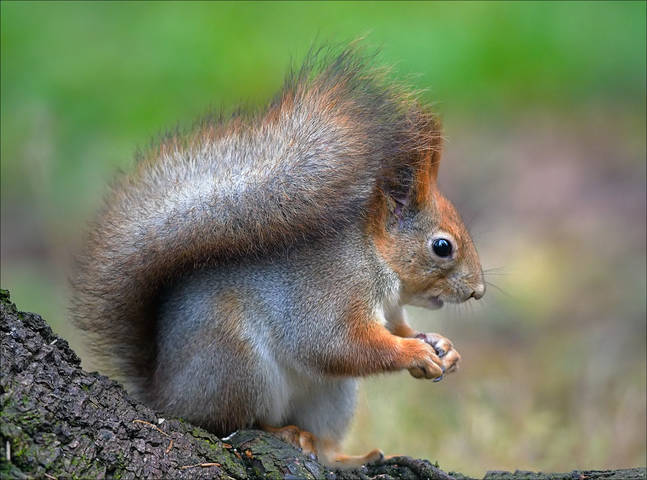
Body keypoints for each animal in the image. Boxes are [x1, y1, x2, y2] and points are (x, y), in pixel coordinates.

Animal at [71, 47, 485, 468]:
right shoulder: (334, 290)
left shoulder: (391, 309)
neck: (376, 260)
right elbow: (338, 345)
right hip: (238, 365)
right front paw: (413, 351)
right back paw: (282, 433)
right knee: (231, 422)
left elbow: (397, 328)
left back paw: (350, 456)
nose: (478, 291)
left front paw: (442, 346)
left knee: (323, 441)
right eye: (442, 246)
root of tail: (165, 394)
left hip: (331, 394)